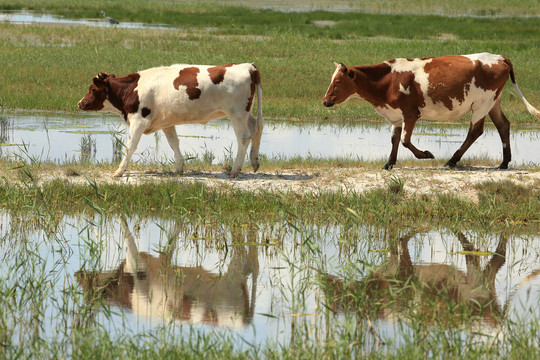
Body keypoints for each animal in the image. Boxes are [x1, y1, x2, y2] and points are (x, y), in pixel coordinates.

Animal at [78, 64, 264, 179]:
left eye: (93, 89)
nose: (80, 103)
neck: (132, 89)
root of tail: (248, 66)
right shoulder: (166, 123)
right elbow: (174, 143)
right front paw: (180, 168)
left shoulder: (139, 120)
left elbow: (130, 146)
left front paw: (119, 171)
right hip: (246, 113)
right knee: (256, 127)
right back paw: (254, 162)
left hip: (237, 113)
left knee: (244, 138)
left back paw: (235, 170)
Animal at [322, 53, 536, 170]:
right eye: (331, 79)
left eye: (338, 81)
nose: (325, 101)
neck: (388, 80)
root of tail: (499, 57)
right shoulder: (396, 116)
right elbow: (394, 140)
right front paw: (389, 163)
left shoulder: (410, 113)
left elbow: (405, 140)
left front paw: (426, 154)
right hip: (493, 102)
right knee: (503, 125)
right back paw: (504, 163)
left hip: (482, 104)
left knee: (475, 131)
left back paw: (451, 161)